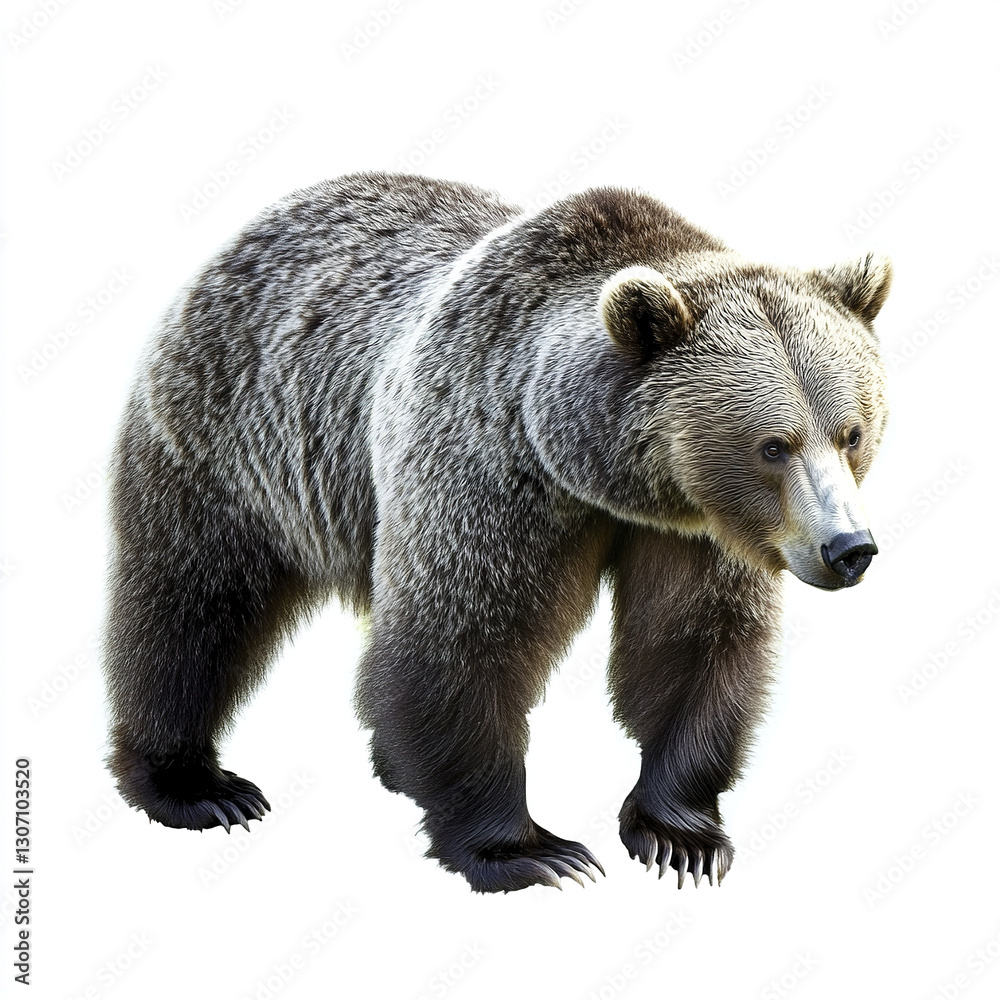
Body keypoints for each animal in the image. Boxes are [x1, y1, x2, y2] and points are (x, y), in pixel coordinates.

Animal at [102, 171, 890, 893]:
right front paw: (530, 852)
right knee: (191, 601)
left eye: (851, 432)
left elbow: (692, 642)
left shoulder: (695, 533)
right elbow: (463, 640)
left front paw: (681, 838)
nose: (849, 549)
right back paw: (194, 785)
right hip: (230, 442)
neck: (600, 473)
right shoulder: (487, 470)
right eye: (773, 446)